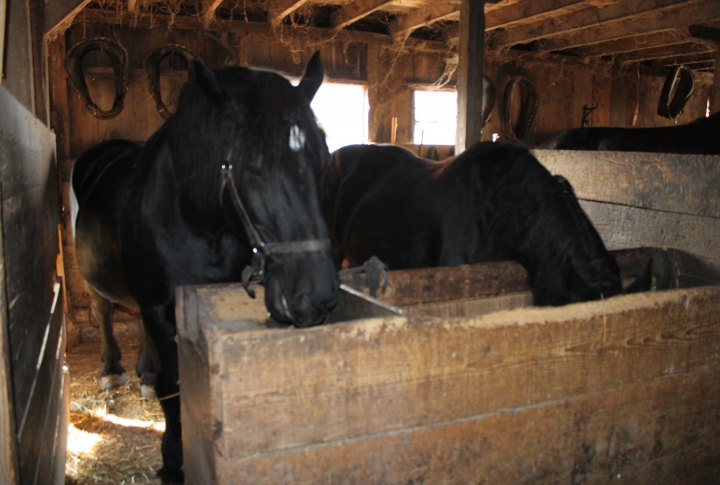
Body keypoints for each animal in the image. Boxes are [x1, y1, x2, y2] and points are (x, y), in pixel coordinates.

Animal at [70, 53, 338, 480]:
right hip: (99, 283)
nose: (317, 296)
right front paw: (173, 460)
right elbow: (173, 385)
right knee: (104, 310)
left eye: (323, 159)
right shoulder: (158, 307)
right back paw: (112, 369)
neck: (195, 221)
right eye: (253, 167)